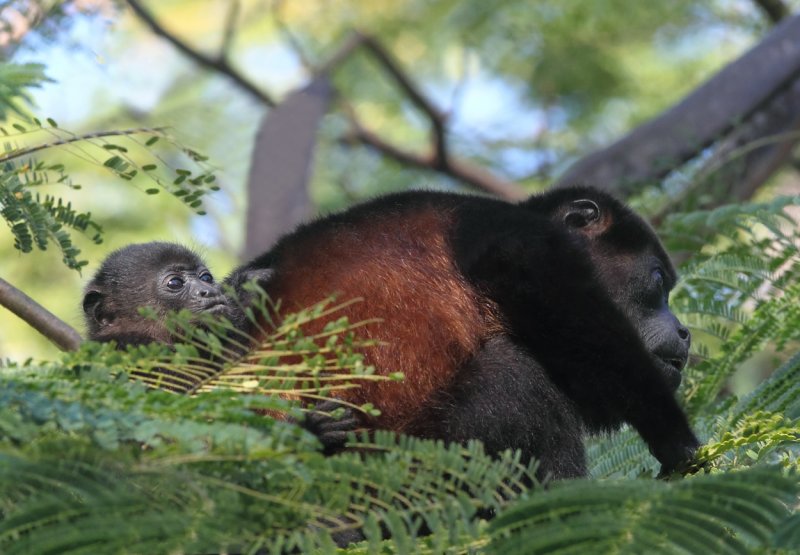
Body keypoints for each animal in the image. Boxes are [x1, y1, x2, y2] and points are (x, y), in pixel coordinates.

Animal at [227, 187, 700, 478]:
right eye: (658, 281)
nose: (685, 331)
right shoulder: (521, 239)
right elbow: (579, 324)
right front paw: (676, 440)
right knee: (514, 378)